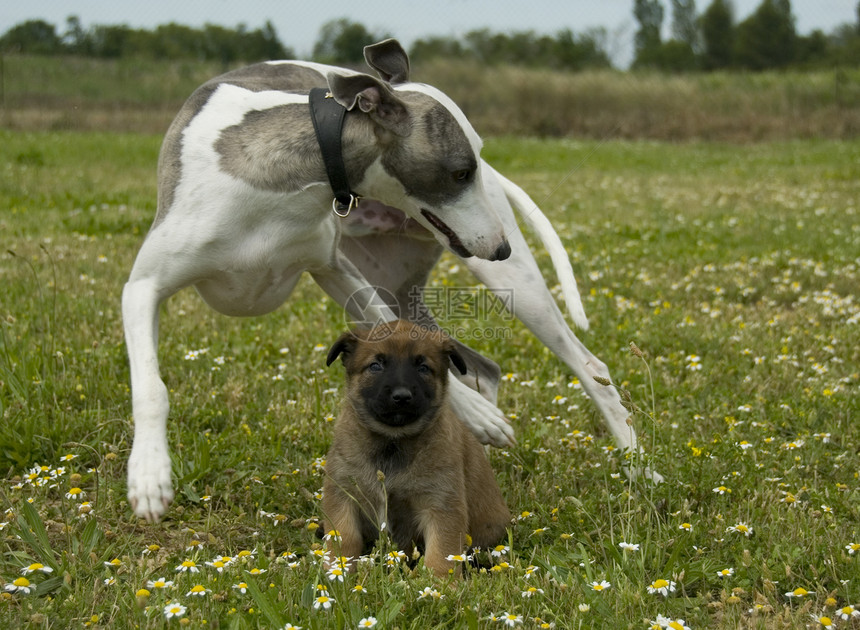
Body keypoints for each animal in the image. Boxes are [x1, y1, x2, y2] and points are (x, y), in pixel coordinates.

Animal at [121, 38, 660, 524]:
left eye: (474, 166)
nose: (502, 245)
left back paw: (638, 470)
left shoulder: (340, 272)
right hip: (396, 285)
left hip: (505, 284)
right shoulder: (144, 288)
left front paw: (480, 418)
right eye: (461, 171)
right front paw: (149, 476)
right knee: (483, 366)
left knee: (587, 365)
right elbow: (151, 386)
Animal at [322, 320, 510, 576]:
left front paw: (440, 583)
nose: (401, 396)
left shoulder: (440, 503)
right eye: (375, 365)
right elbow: (344, 539)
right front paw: (337, 571)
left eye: (423, 367)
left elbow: (442, 554)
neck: (393, 443)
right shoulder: (343, 494)